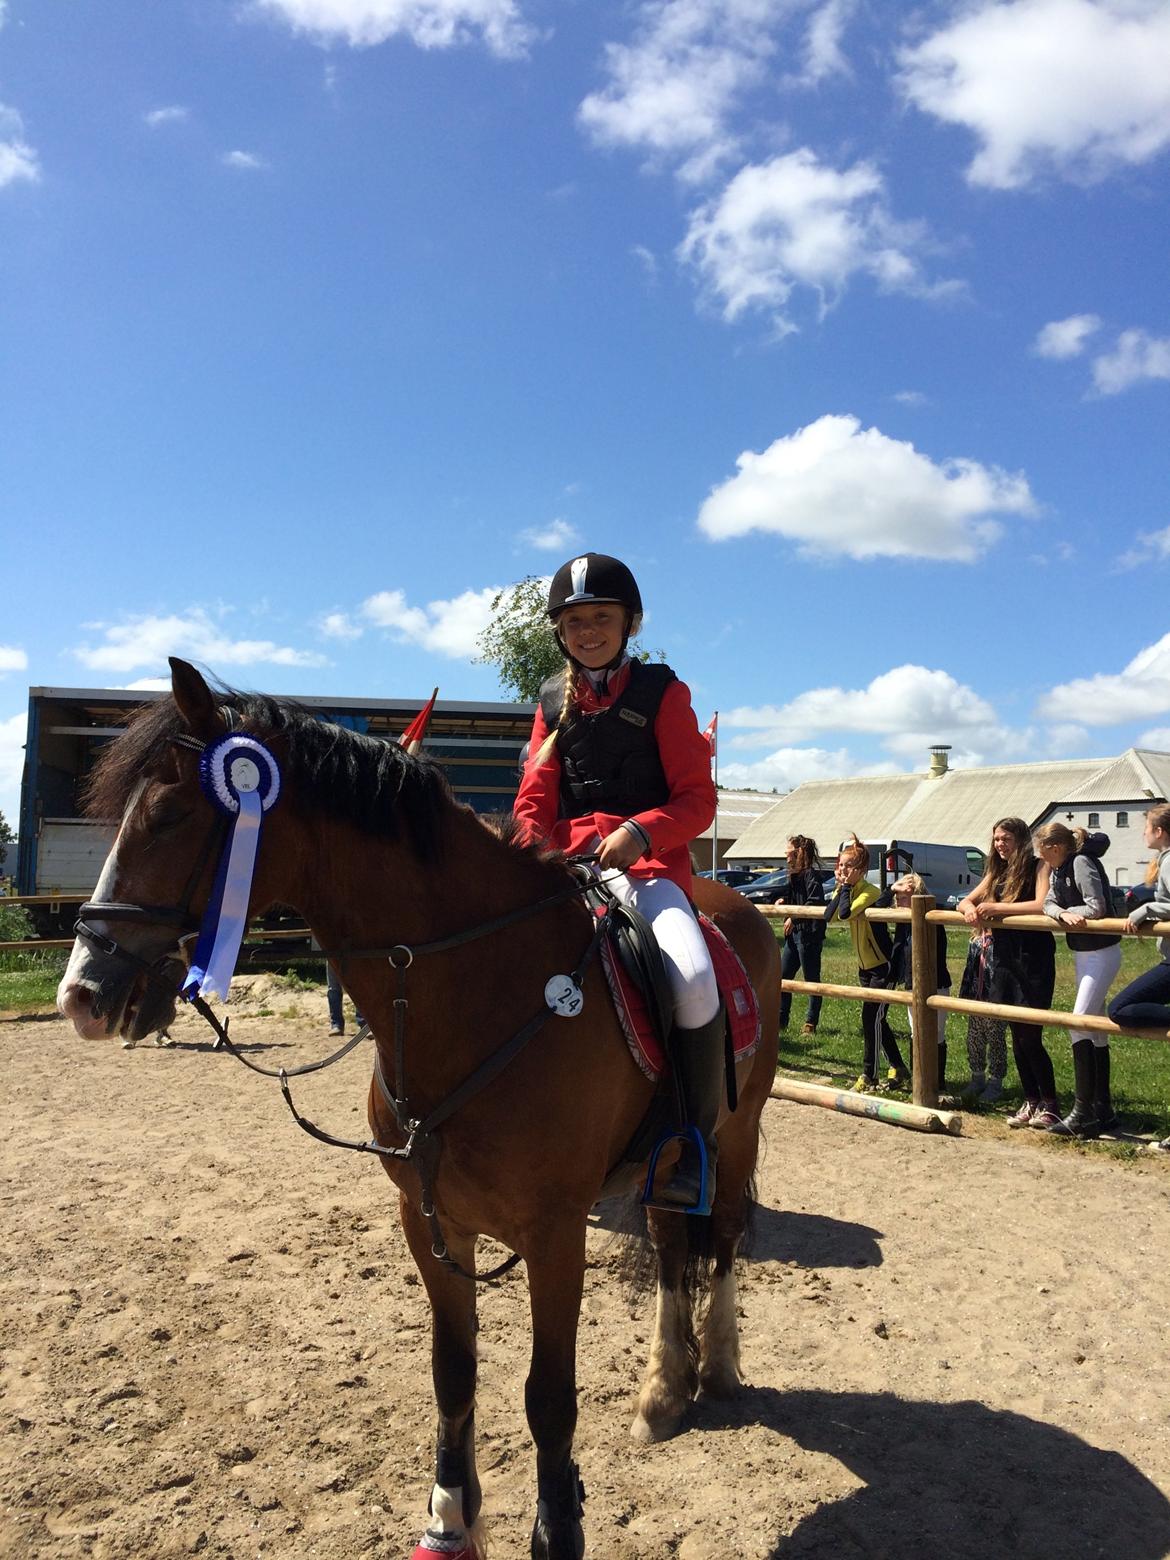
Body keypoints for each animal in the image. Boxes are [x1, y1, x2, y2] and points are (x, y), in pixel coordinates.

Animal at [59, 658, 783, 1560]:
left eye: (168, 815)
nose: (81, 995)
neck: (475, 986)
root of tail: (733, 901)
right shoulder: (429, 1220)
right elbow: (453, 1371)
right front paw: (449, 1519)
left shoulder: (556, 1234)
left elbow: (549, 1394)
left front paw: (556, 1531)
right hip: (670, 1156)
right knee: (671, 1239)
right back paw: (663, 1389)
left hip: (735, 1131)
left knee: (719, 1240)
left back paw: (714, 1366)